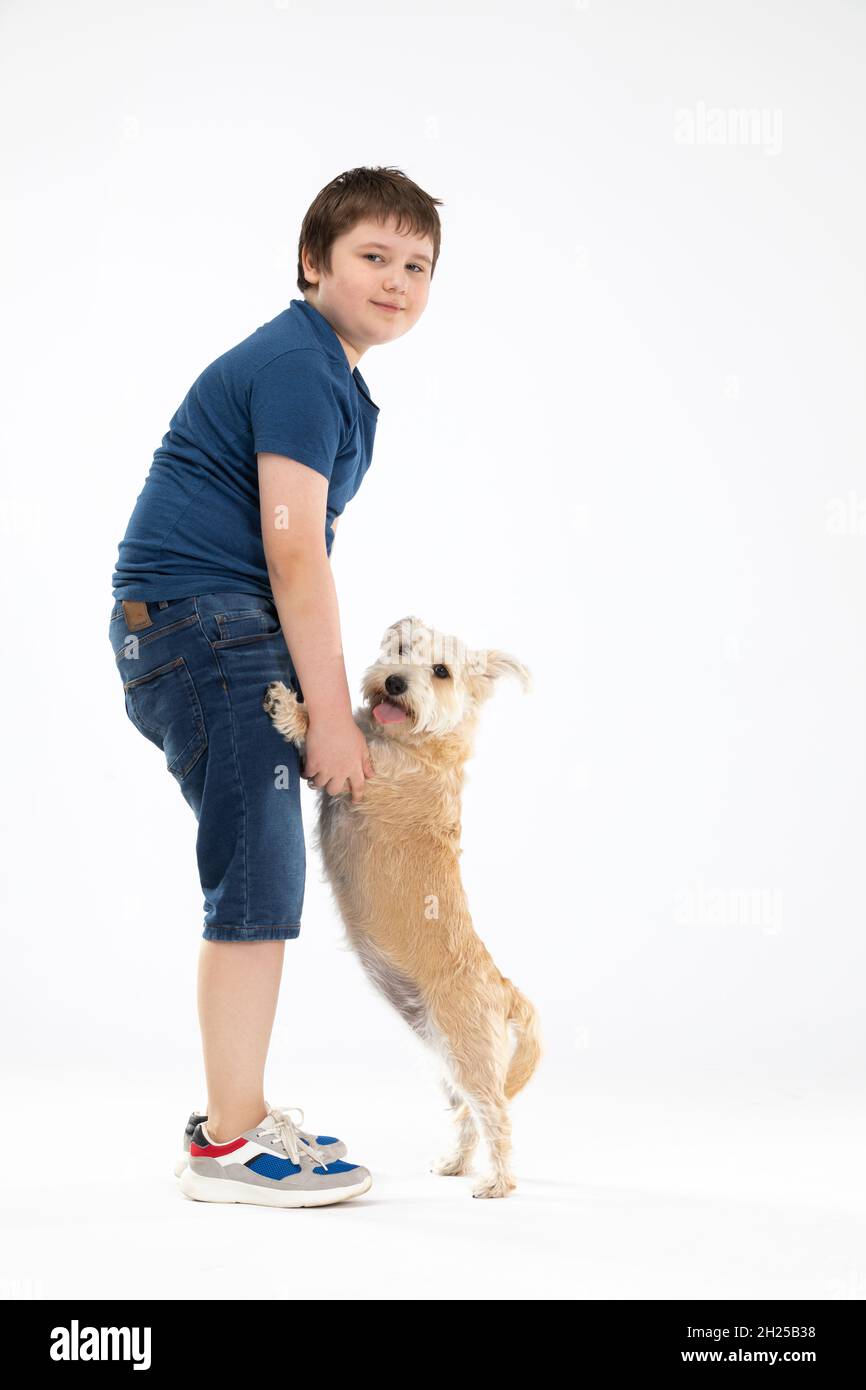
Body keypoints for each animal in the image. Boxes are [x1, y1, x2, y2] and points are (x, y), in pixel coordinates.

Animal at [262, 614, 542, 1200]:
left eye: (440, 670)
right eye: (401, 648)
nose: (393, 682)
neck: (422, 746)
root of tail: (504, 989)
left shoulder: (359, 772)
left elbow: (326, 739)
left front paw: (292, 708)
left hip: (470, 1056)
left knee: (496, 1115)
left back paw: (496, 1184)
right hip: (447, 1063)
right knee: (467, 1116)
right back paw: (455, 1164)